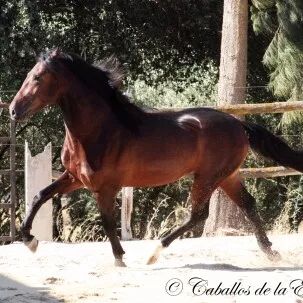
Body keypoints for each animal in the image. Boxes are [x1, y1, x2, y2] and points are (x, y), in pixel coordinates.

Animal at [9, 49, 303, 266]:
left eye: (38, 77)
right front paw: (30, 241)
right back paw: (271, 253)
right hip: (227, 176)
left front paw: (120, 259)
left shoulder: (105, 187)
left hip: (208, 177)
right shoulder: (74, 178)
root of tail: (238, 124)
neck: (99, 131)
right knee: (248, 205)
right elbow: (39, 196)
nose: (13, 110)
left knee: (199, 214)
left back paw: (154, 252)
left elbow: (107, 222)